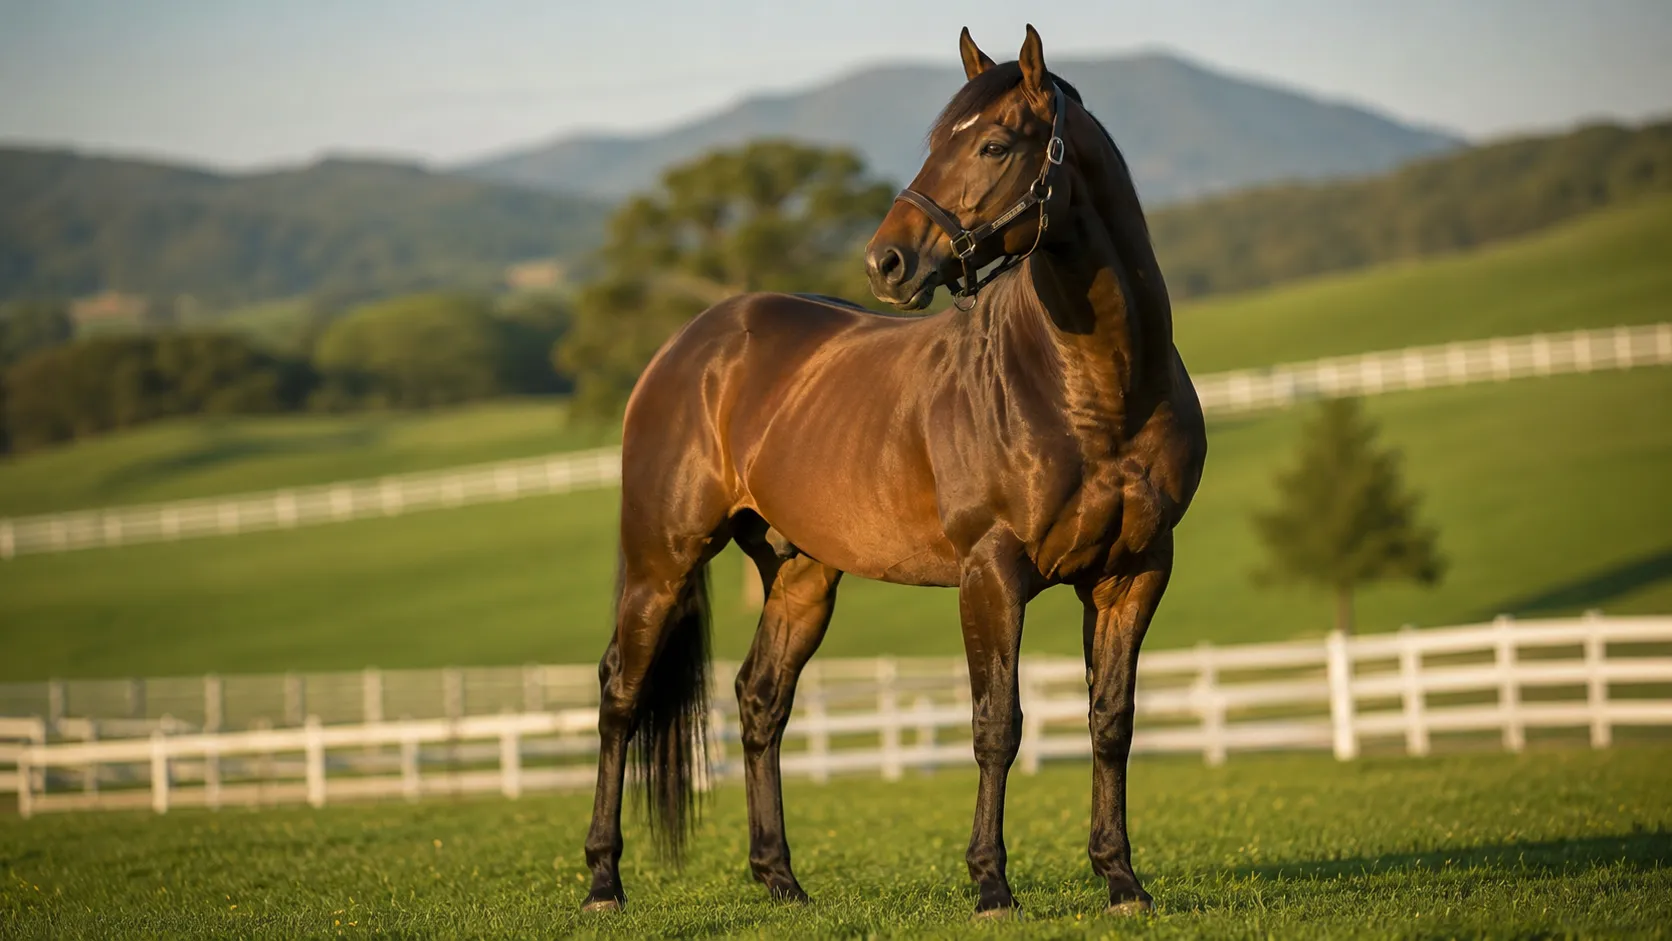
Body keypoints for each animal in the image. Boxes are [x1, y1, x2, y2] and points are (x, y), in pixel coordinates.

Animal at [581, 24, 1207, 918]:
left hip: (800, 574)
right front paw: (991, 885)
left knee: (760, 700)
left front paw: (1121, 878)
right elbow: (996, 723)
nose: (888, 261)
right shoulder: (993, 571)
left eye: (992, 144)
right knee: (620, 695)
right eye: (935, 140)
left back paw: (781, 880)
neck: (1094, 387)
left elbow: (1111, 721)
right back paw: (604, 877)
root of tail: (689, 345)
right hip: (661, 561)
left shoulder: (1137, 570)